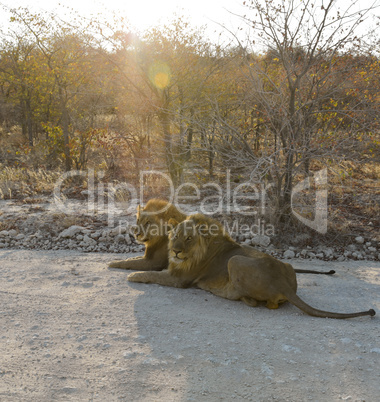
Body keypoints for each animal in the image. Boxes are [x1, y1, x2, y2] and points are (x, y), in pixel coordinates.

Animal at [127, 215, 374, 318]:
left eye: (188, 239)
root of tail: (284, 286)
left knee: (260, 303)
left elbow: (153, 274)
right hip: (288, 265)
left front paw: (133, 276)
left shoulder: (180, 280)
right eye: (175, 236)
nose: (176, 251)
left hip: (234, 261)